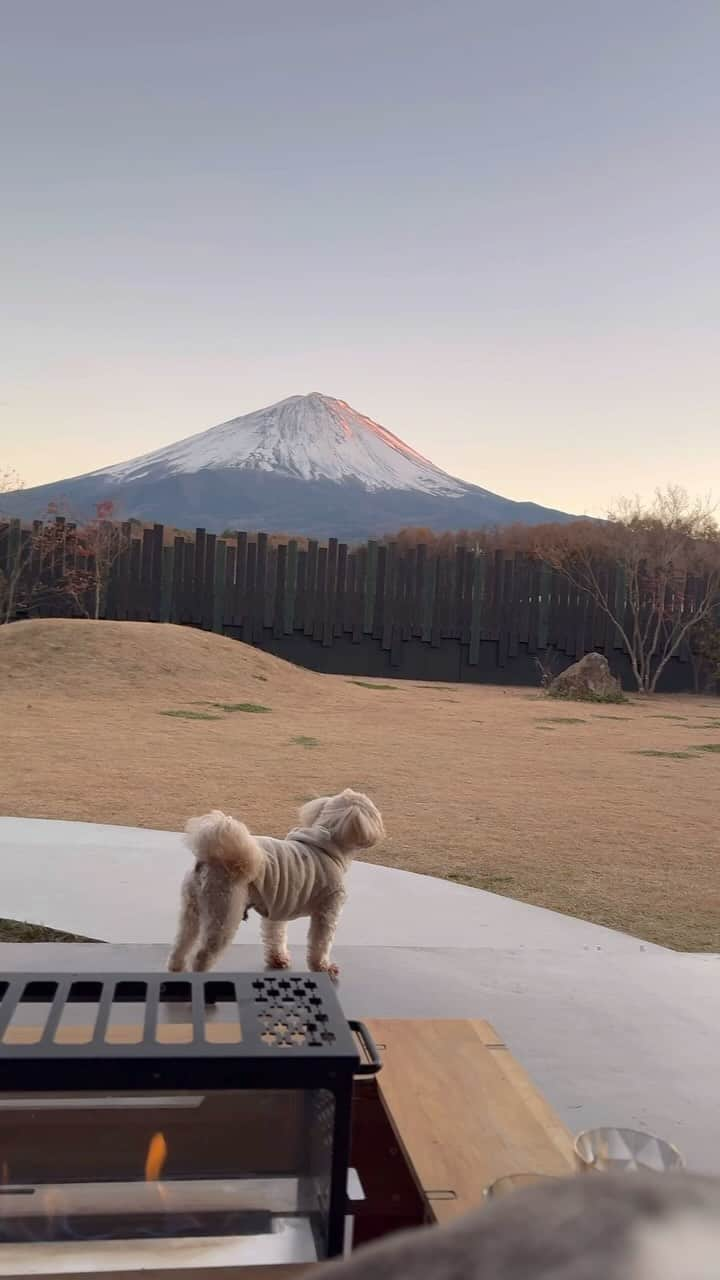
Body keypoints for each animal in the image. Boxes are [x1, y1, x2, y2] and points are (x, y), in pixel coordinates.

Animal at [166, 783, 384, 972]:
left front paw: (277, 959)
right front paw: (323, 967)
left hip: (192, 909)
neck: (327, 843)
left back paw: (176, 966)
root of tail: (211, 858)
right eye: (374, 812)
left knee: (182, 943)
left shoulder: (279, 906)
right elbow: (320, 943)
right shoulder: (328, 909)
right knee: (202, 956)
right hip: (223, 912)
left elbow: (275, 935)